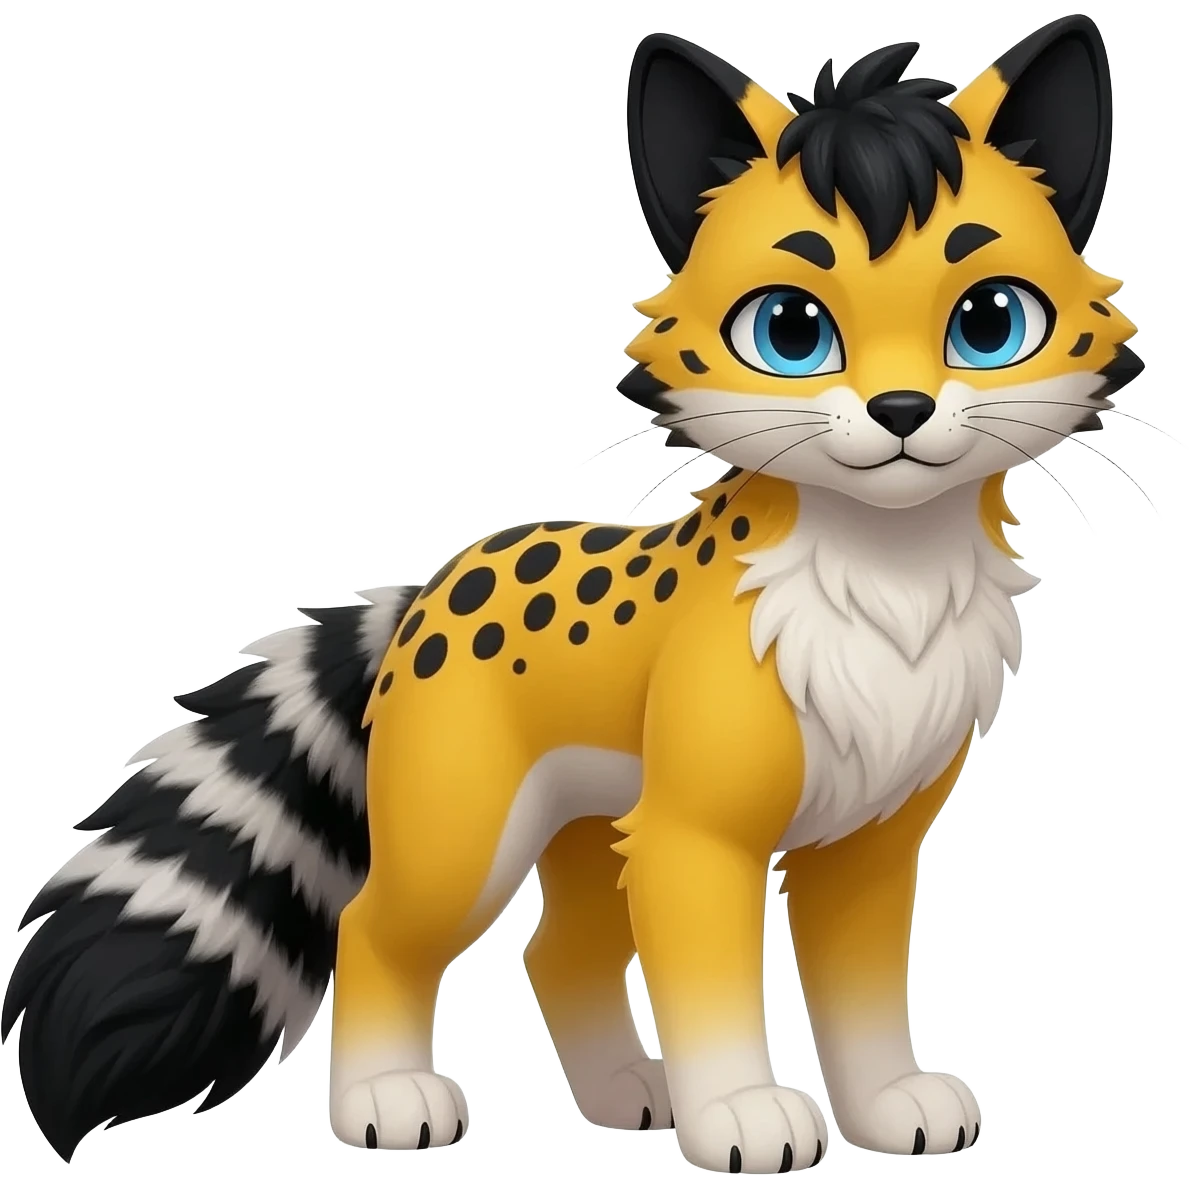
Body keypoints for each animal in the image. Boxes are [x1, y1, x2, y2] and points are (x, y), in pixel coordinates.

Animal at [3, 16, 1151, 1174]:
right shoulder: (694, 834)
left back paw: (619, 1089)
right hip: (462, 826)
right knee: (374, 926)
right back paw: (386, 1098)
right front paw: (740, 1110)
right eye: (790, 331)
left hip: (594, 822)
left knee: (557, 949)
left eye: (988, 321)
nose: (902, 409)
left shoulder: (865, 843)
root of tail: (437, 579)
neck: (886, 573)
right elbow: (710, 983)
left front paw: (880, 1103)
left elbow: (862, 988)